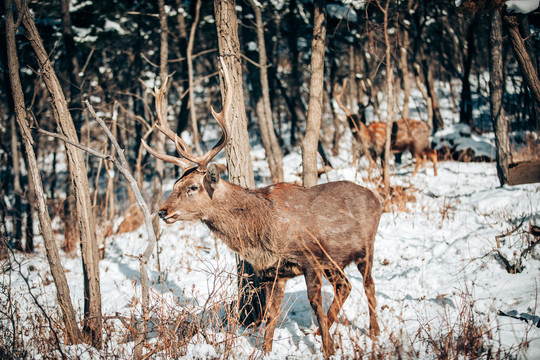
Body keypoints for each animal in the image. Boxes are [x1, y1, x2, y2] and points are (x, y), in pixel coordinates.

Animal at [141, 57, 382, 358]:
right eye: (175, 183)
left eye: (193, 187)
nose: (163, 211)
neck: (262, 232)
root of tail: (377, 199)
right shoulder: (273, 272)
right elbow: (271, 313)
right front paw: (266, 349)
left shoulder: (310, 257)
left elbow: (314, 304)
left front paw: (328, 349)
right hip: (335, 260)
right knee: (345, 285)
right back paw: (325, 330)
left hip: (366, 247)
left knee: (368, 285)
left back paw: (373, 332)